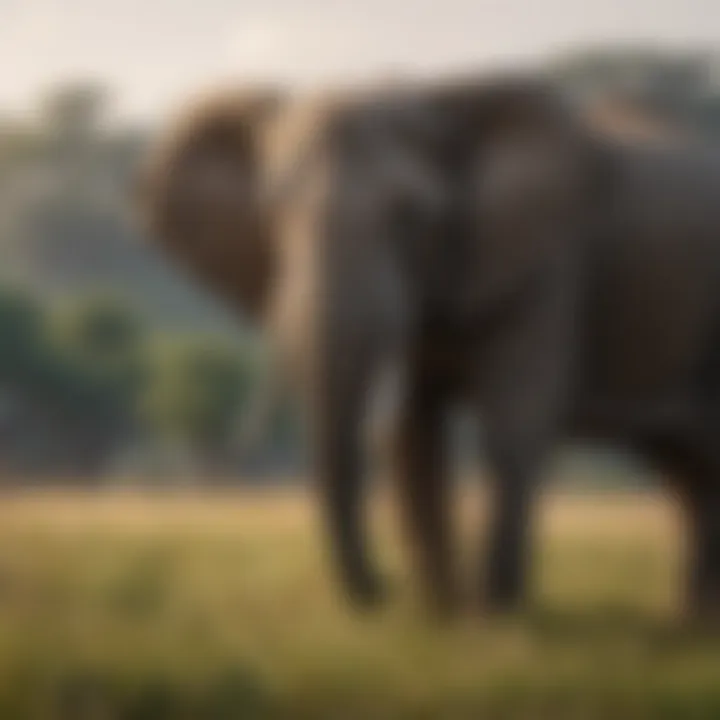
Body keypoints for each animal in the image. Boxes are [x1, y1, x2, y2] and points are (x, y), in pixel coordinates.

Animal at [139, 77, 720, 620]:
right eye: (273, 212)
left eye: (410, 216)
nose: (383, 592)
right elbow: (412, 437)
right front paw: (439, 616)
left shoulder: (549, 269)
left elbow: (512, 424)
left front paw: (495, 617)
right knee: (683, 470)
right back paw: (687, 623)